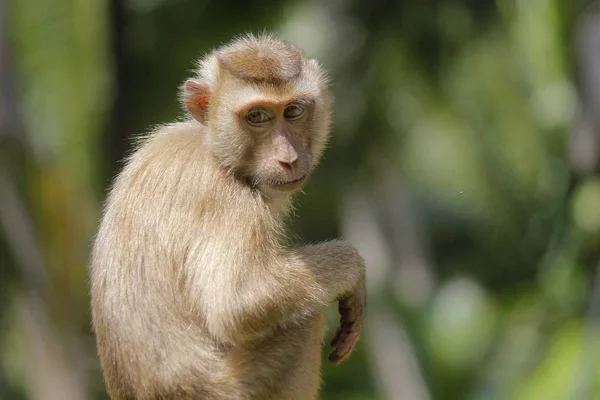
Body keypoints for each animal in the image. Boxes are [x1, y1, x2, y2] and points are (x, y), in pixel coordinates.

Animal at [90, 34, 366, 400]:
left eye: (293, 111)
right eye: (257, 116)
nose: (288, 158)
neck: (211, 148)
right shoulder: (223, 198)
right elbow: (237, 302)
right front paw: (350, 266)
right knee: (304, 319)